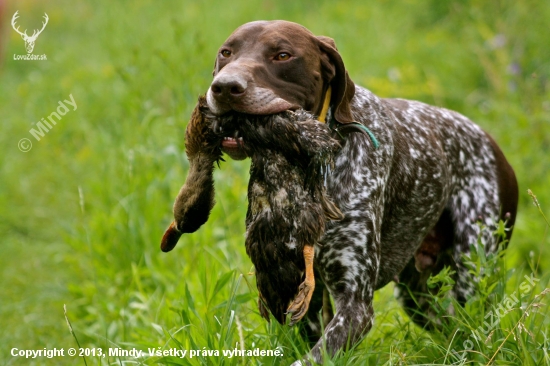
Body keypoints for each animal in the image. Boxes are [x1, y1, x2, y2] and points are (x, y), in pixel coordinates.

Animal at [203, 20, 516, 366]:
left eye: (282, 55)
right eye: (226, 52)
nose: (224, 87)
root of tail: (491, 143)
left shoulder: (354, 305)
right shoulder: (303, 297)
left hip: (474, 271)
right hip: (418, 297)